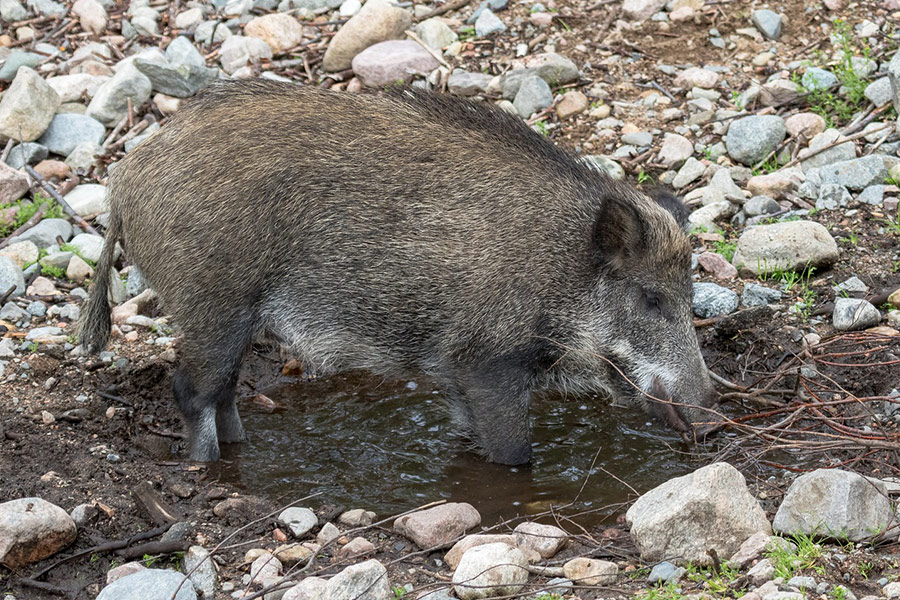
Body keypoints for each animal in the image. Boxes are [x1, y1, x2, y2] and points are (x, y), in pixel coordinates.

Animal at [79, 81, 718, 464]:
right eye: (651, 299)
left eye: (690, 298)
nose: (710, 419)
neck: (558, 268)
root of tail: (125, 179)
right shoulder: (486, 360)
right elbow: (514, 454)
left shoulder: (457, 374)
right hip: (212, 303)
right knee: (190, 389)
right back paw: (206, 465)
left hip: (229, 317)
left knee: (224, 390)